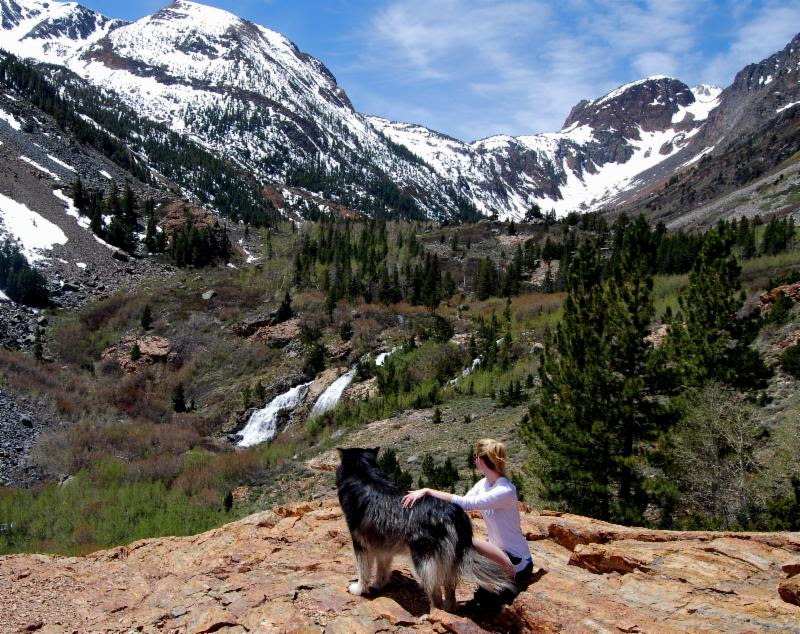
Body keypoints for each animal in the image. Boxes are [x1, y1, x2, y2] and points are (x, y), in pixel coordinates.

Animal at [336, 446, 512, 608]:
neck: (364, 474)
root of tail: (454, 513)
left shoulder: (360, 542)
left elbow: (363, 569)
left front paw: (359, 589)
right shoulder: (382, 543)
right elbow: (382, 567)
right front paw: (379, 584)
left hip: (424, 561)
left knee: (435, 593)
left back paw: (432, 614)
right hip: (449, 561)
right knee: (449, 591)